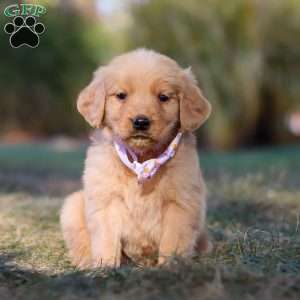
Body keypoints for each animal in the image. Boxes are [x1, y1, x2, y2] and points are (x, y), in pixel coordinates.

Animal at [60, 49, 211, 270]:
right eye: (121, 95)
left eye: (163, 97)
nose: (141, 122)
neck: (143, 159)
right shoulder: (106, 200)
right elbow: (107, 239)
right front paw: (105, 267)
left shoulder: (181, 203)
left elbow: (172, 241)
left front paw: (170, 266)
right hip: (72, 206)